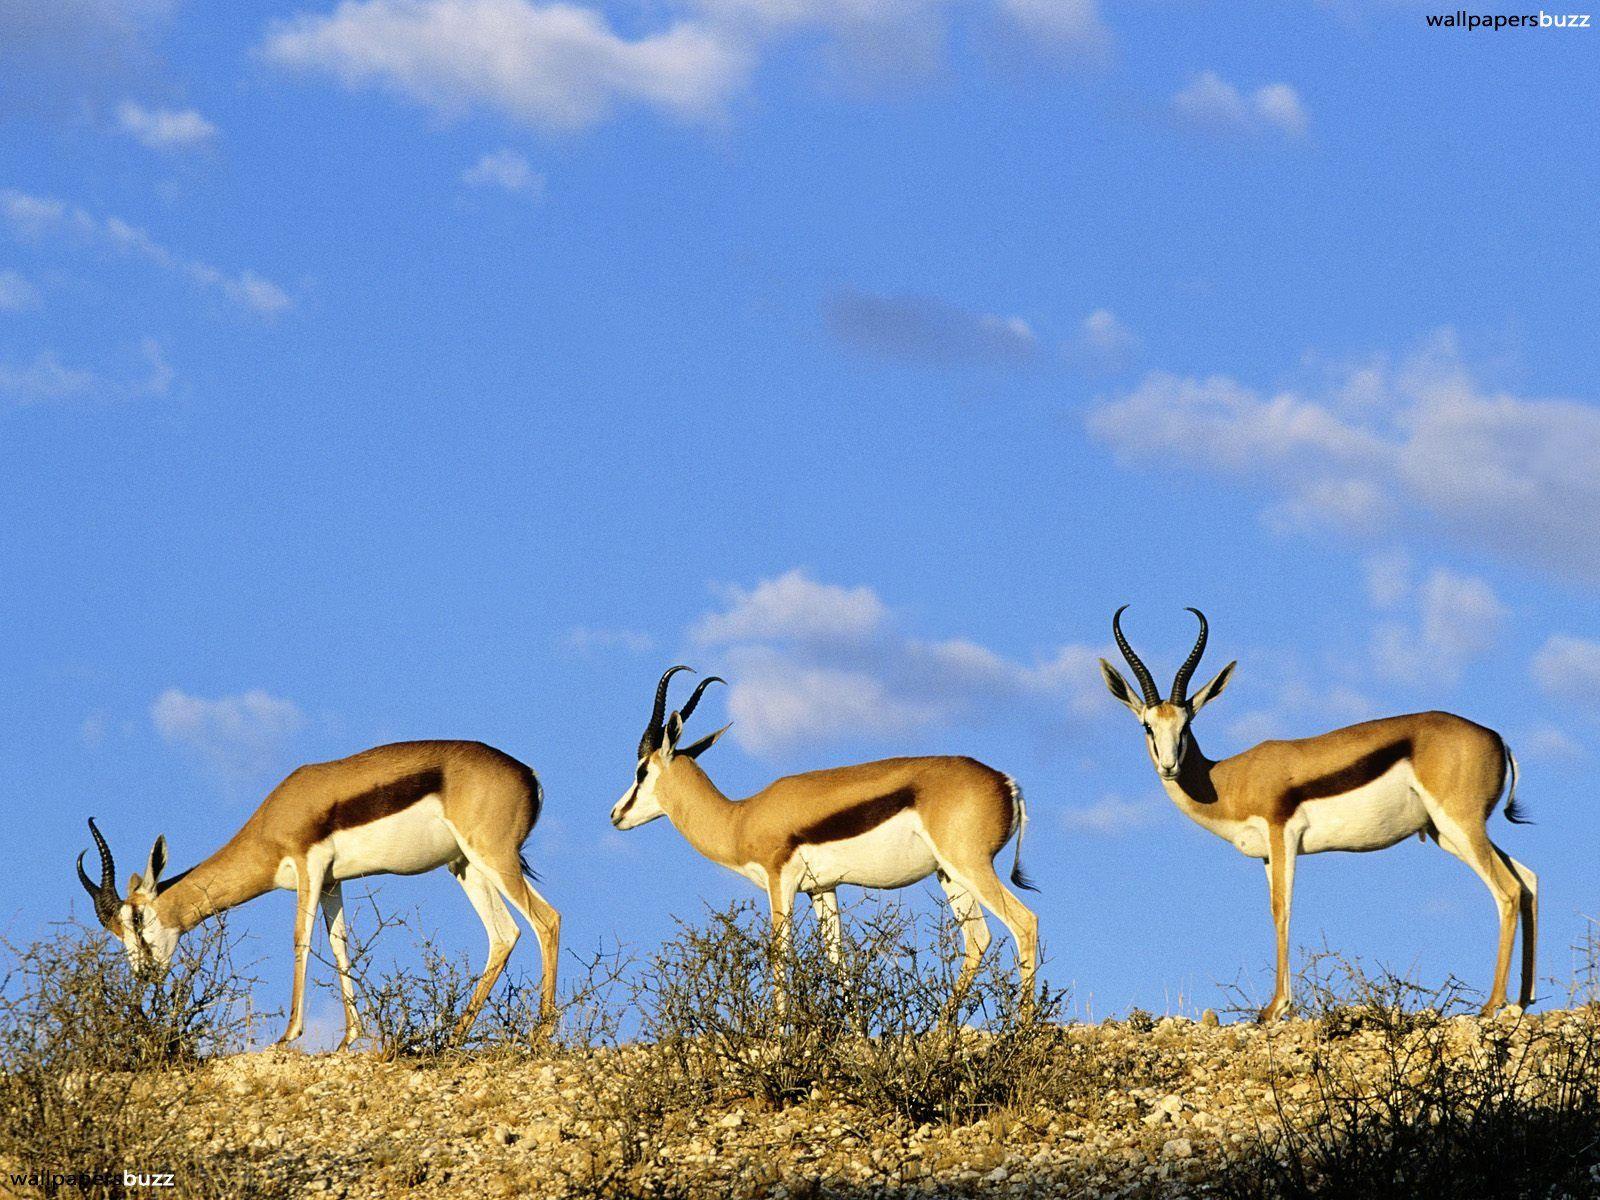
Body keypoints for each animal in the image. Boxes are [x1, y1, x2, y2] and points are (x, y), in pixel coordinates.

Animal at [76, 740, 560, 1049]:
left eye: (137, 919)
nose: (144, 975)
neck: (276, 816)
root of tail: (528, 773)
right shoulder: (331, 881)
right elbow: (340, 944)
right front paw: (349, 1038)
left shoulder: (309, 867)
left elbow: (301, 940)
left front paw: (288, 1035)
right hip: (465, 866)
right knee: (504, 935)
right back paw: (452, 1038)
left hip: (492, 857)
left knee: (546, 920)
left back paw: (541, 1035)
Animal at [609, 666, 1040, 999]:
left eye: (641, 771)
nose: (616, 814)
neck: (740, 817)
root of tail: (1007, 783)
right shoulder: (822, 889)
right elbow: (838, 962)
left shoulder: (780, 883)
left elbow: (781, 955)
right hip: (948, 875)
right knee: (978, 939)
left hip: (971, 866)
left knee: (1025, 923)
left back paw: (1020, 1033)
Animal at [1099, 607, 1537, 1021]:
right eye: (1147, 726)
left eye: (1186, 725)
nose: (1169, 766)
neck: (1226, 780)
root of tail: (1496, 737)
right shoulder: (1266, 854)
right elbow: (1276, 908)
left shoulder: (1283, 835)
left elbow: (1282, 909)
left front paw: (1276, 1008)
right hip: (1449, 832)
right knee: (1528, 880)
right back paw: (1521, 1001)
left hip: (1459, 825)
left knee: (1507, 891)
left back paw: (1492, 1005)